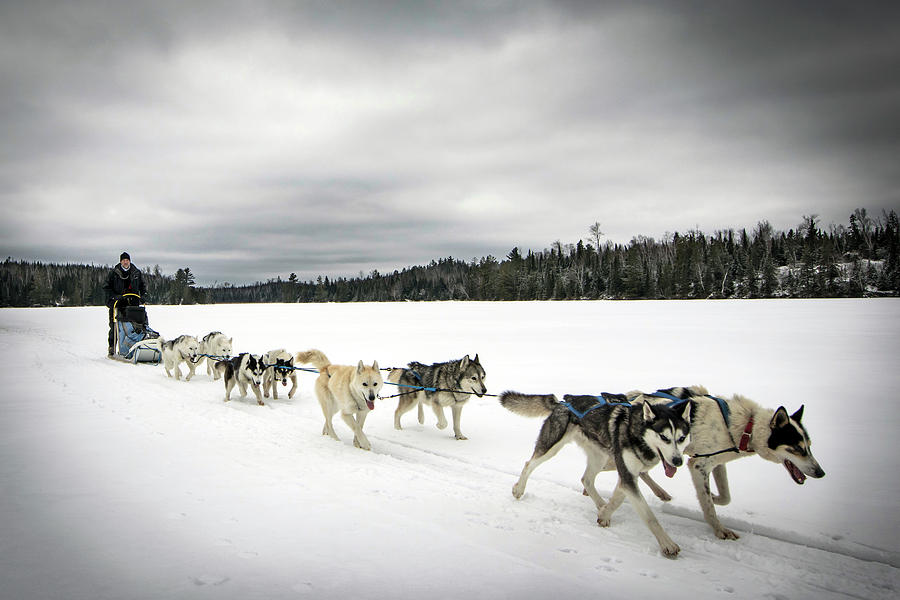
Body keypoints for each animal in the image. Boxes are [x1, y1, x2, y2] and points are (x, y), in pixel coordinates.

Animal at [500, 390, 688, 556]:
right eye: (664, 437)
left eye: (681, 438)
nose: (678, 461)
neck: (636, 434)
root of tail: (563, 402)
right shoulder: (627, 475)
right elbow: (650, 517)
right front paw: (668, 544)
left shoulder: (627, 475)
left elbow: (617, 499)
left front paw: (604, 514)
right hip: (552, 447)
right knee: (529, 464)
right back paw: (519, 489)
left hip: (599, 457)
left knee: (586, 479)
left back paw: (600, 504)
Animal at [632, 386, 824, 540]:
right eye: (797, 448)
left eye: (809, 445)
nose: (821, 472)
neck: (746, 427)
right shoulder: (698, 465)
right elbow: (709, 507)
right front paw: (719, 529)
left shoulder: (717, 462)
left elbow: (725, 497)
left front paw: (713, 496)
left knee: (643, 472)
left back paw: (661, 492)